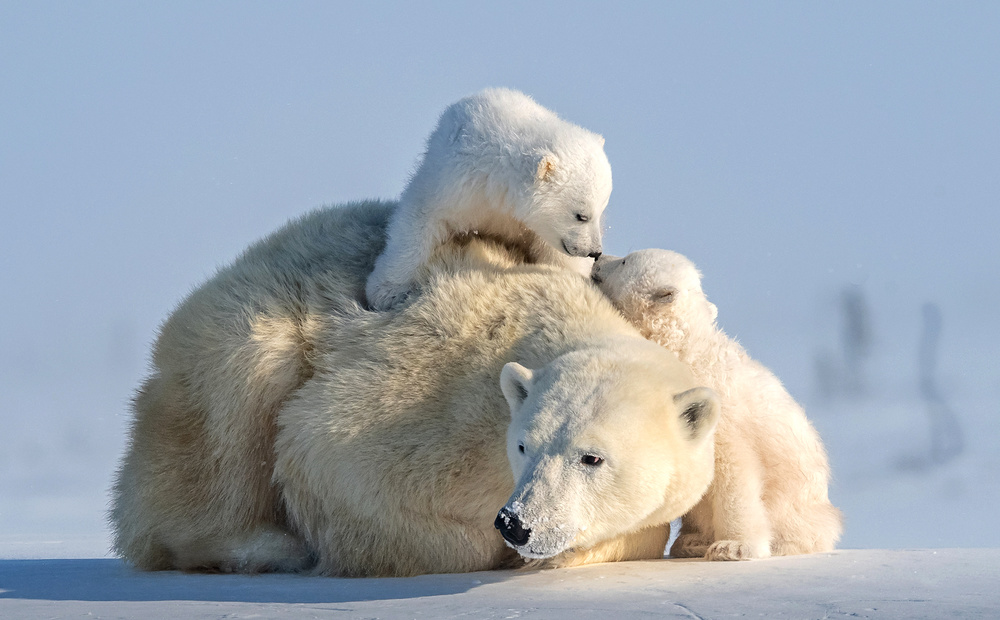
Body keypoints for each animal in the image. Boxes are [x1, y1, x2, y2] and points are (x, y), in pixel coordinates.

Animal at [109, 203, 720, 576]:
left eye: (592, 457)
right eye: (524, 444)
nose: (517, 523)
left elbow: (640, 530)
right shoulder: (433, 399)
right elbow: (325, 450)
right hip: (238, 339)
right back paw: (267, 546)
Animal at [364, 87, 612, 310]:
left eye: (601, 211)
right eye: (581, 216)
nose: (595, 252)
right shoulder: (455, 183)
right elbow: (419, 218)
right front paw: (386, 291)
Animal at [592, 249, 844, 560]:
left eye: (626, 259)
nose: (598, 257)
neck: (684, 352)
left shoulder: (722, 419)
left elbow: (735, 474)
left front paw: (734, 546)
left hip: (801, 508)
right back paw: (691, 542)